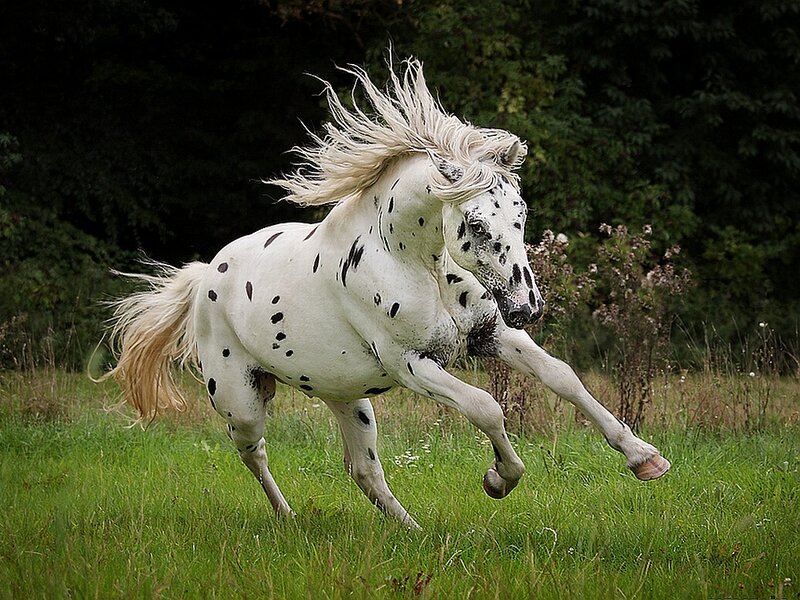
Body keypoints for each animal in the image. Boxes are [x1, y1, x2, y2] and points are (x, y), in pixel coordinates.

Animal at [102, 58, 670, 530]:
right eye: (476, 224)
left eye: (521, 213)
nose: (527, 307)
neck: (414, 262)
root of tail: (206, 276)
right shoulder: (411, 364)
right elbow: (487, 407)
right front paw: (498, 480)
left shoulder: (491, 335)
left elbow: (564, 377)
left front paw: (645, 458)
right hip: (240, 400)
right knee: (252, 450)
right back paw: (287, 517)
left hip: (345, 396)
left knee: (363, 470)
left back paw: (410, 531)